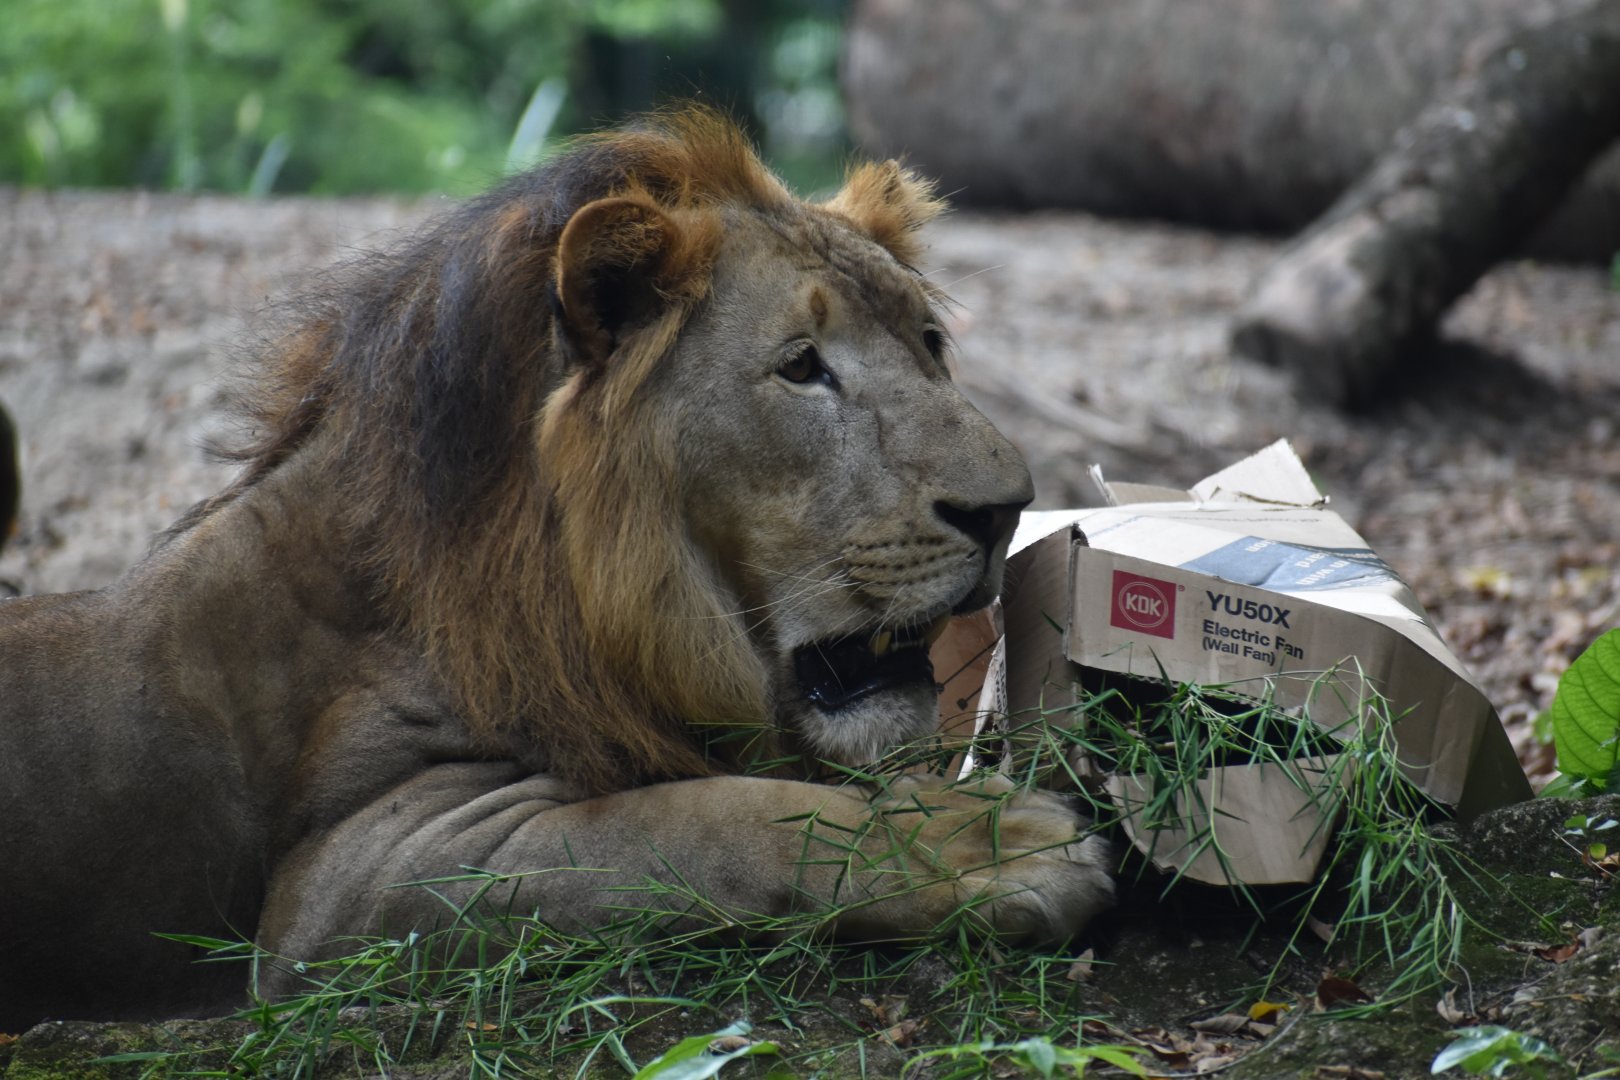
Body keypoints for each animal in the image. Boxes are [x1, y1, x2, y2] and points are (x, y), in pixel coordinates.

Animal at [0, 108, 1112, 1030]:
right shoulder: (347, 884)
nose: (1007, 507)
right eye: (802, 366)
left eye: (931, 344)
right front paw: (1001, 844)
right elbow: (705, 819)